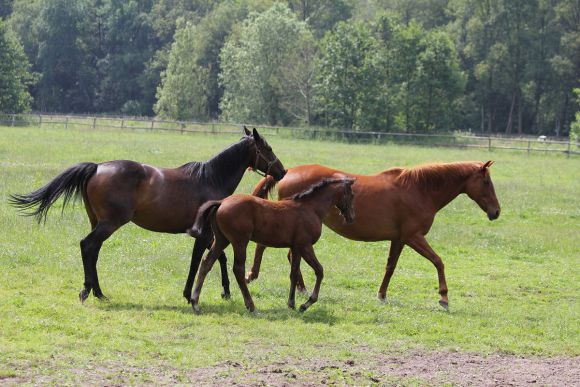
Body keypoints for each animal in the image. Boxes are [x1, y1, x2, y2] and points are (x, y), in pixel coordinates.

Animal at [10, 127, 286, 304]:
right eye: (268, 147)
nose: (282, 172)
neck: (210, 179)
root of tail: (97, 167)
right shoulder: (203, 234)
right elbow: (199, 261)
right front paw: (190, 294)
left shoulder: (211, 235)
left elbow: (219, 258)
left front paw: (225, 292)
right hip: (110, 223)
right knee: (87, 245)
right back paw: (88, 290)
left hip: (98, 222)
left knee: (93, 250)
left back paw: (99, 292)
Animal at [188, 177, 356, 314]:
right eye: (352, 195)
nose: (351, 217)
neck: (311, 208)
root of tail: (222, 202)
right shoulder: (305, 246)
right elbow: (319, 271)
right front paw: (306, 304)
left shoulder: (296, 247)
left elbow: (294, 273)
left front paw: (292, 303)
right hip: (239, 241)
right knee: (238, 269)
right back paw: (251, 305)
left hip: (222, 240)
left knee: (206, 263)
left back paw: (195, 303)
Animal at [247, 161, 500, 310]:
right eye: (486, 182)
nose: (496, 211)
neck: (419, 190)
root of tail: (289, 171)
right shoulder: (414, 237)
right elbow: (438, 261)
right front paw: (444, 297)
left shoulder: (399, 239)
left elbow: (390, 267)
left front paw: (381, 294)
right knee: (269, 248)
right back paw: (261, 277)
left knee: (289, 255)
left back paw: (298, 288)